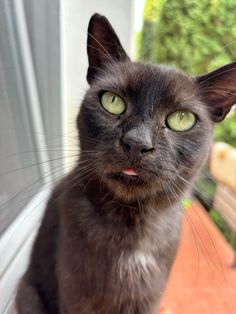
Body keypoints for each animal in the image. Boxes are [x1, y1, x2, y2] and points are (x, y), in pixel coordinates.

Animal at [15, 12, 235, 314]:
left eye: (182, 119)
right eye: (112, 101)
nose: (137, 142)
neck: (131, 232)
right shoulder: (75, 297)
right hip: (28, 294)